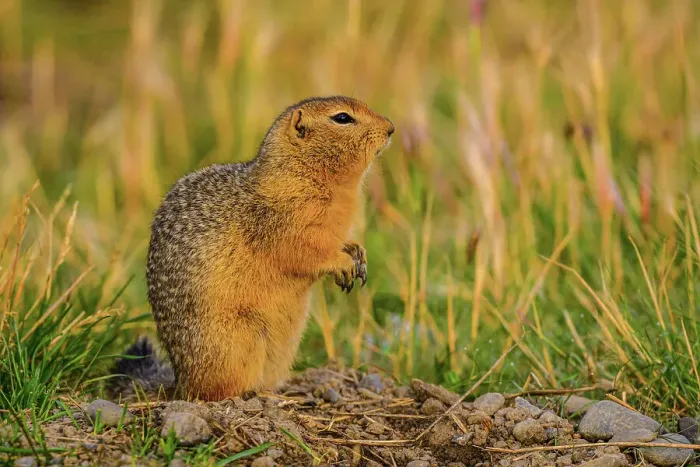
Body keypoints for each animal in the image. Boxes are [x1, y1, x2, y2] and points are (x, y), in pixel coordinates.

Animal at [109, 96, 394, 402]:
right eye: (342, 118)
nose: (391, 128)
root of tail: (179, 381)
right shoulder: (285, 224)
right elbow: (307, 251)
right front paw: (344, 264)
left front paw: (358, 253)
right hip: (236, 342)